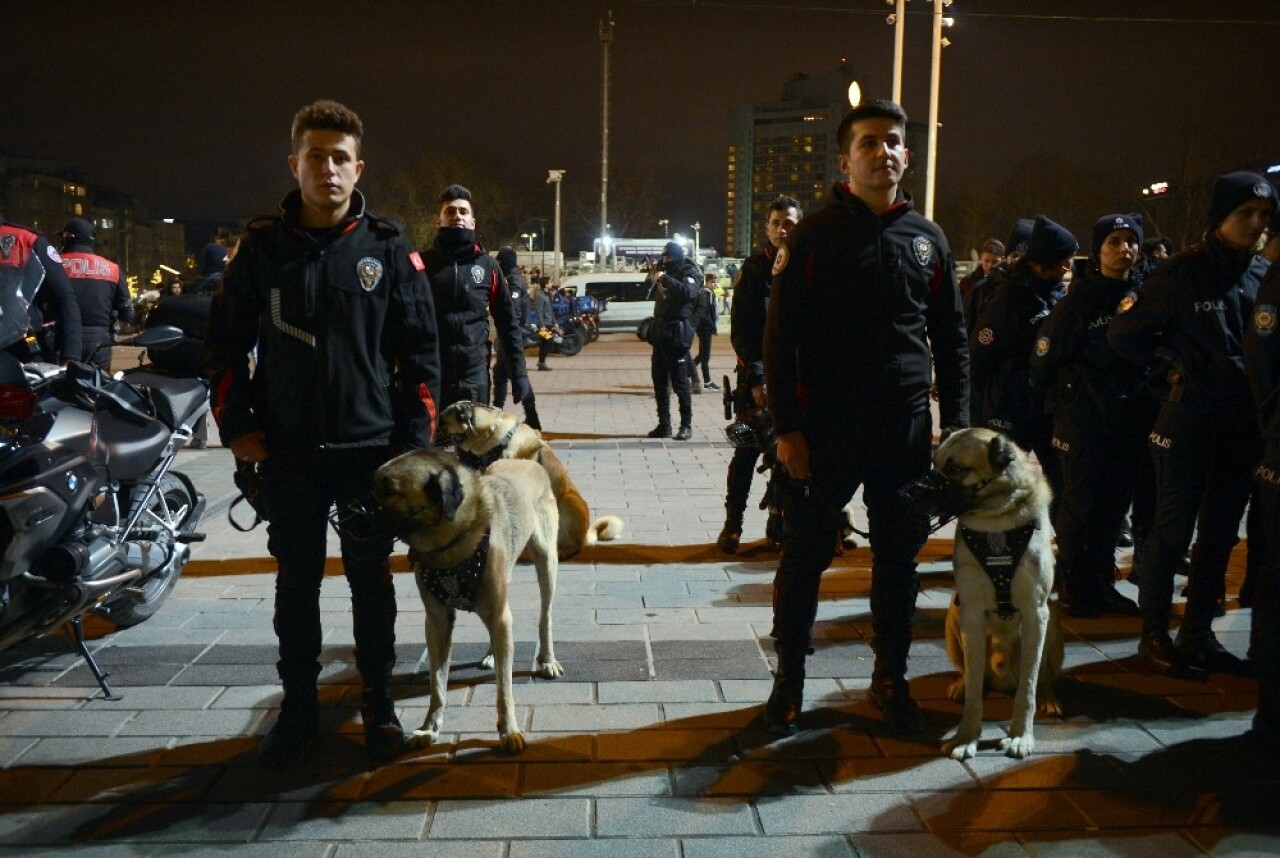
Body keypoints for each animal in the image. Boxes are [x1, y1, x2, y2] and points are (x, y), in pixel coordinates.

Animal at [373, 450, 565, 752]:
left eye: (390, 490)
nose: (349, 515)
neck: (448, 546)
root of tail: (527, 461)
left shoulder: (499, 613)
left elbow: (504, 686)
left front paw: (509, 729)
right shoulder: (437, 622)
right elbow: (437, 684)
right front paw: (429, 727)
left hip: (546, 559)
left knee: (544, 614)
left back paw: (547, 659)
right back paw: (491, 653)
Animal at [936, 427, 1064, 758]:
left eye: (955, 469)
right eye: (934, 463)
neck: (995, 520)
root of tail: (1002, 678)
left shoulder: (1035, 611)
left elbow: (1028, 687)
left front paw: (1021, 736)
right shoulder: (971, 612)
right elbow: (973, 692)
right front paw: (966, 736)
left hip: (1052, 624)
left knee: (1041, 678)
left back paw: (1048, 697)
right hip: (954, 616)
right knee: (972, 674)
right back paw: (962, 683)